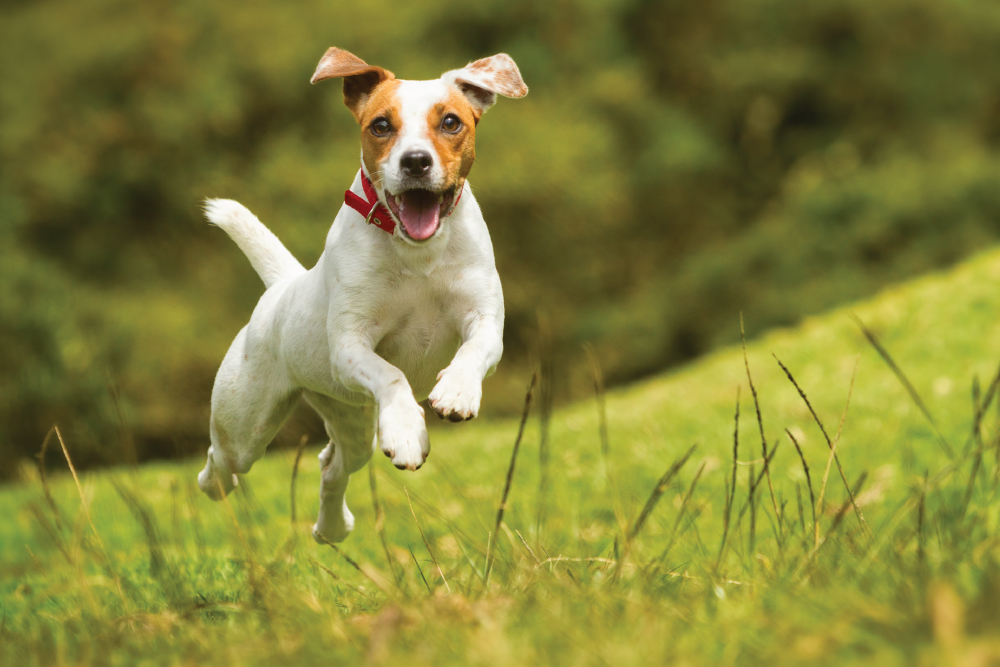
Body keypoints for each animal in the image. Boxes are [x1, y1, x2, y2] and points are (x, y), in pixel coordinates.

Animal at [191, 48, 528, 548]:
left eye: (451, 122)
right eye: (381, 125)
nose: (415, 161)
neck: (417, 253)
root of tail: (281, 286)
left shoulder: (484, 318)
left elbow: (474, 350)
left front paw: (456, 391)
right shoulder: (350, 346)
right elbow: (392, 375)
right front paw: (407, 429)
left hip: (350, 420)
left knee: (332, 465)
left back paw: (332, 527)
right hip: (245, 425)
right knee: (222, 463)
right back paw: (216, 484)